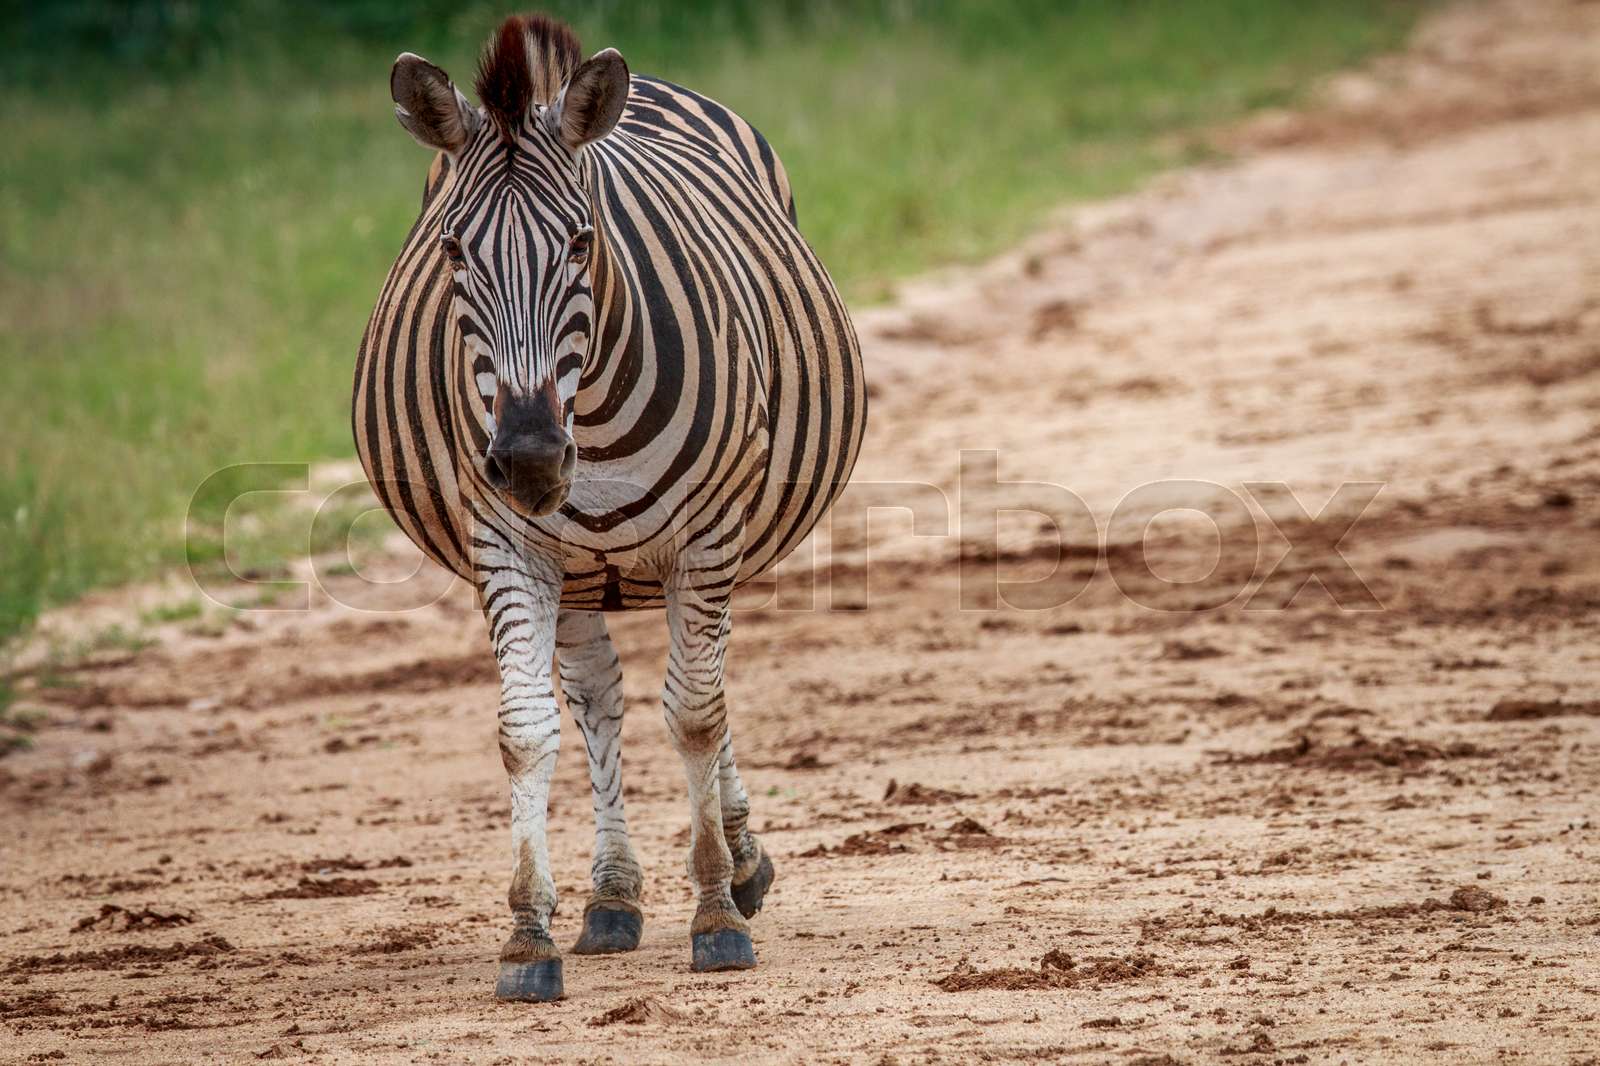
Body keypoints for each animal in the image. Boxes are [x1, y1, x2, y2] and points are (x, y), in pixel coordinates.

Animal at [353, 13, 866, 1002]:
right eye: (453, 253)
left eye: (583, 243)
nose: (525, 457)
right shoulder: (508, 542)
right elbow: (527, 732)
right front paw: (528, 936)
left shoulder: (708, 534)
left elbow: (698, 714)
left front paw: (715, 915)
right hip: (581, 573)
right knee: (600, 699)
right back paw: (613, 897)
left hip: (711, 540)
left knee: (704, 686)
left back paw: (738, 866)